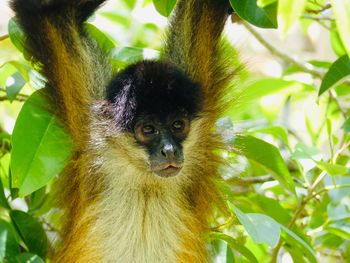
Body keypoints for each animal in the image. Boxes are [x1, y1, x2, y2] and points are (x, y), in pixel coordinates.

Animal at [10, 0, 235, 262]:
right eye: (148, 129)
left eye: (178, 125)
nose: (169, 150)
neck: (145, 180)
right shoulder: (92, 130)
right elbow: (47, 14)